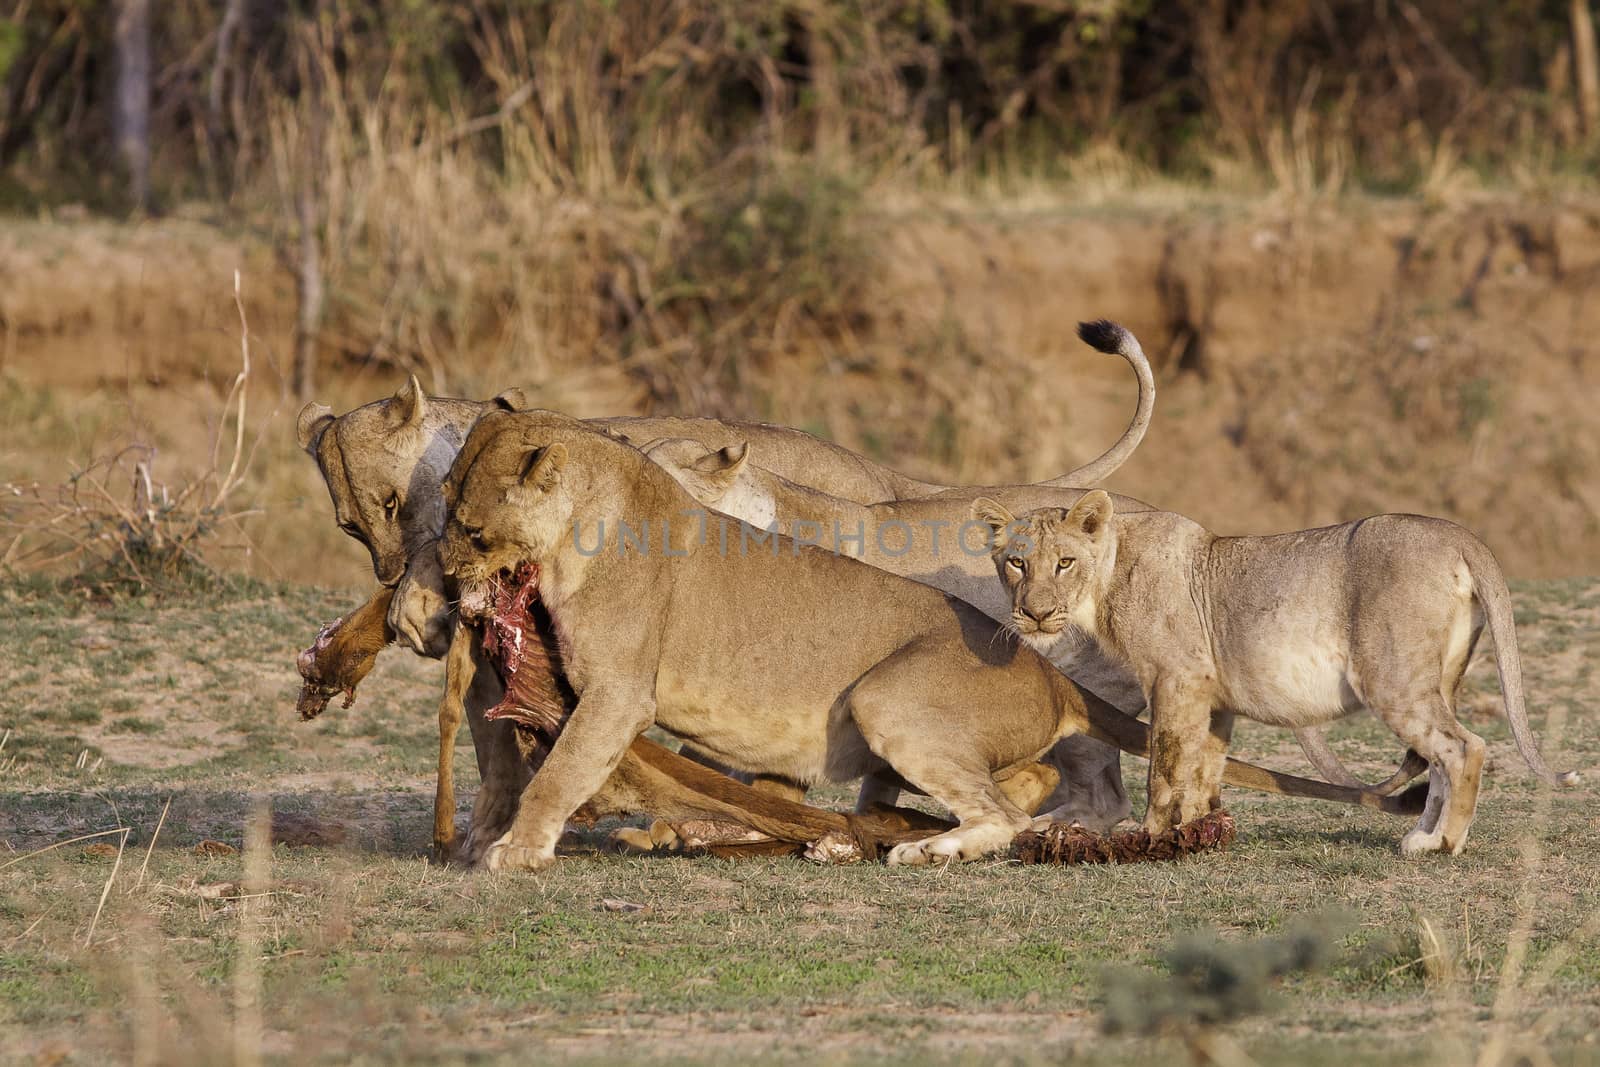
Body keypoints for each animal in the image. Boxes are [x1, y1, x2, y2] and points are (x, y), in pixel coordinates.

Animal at [972, 495, 1574, 857]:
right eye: (1017, 563)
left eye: (1064, 562)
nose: (1035, 614)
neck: (1109, 573)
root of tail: (1458, 535)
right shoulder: (1212, 696)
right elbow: (1204, 768)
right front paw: (1199, 832)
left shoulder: (1174, 677)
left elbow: (1164, 767)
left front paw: (1152, 836)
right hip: (1438, 677)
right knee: (1437, 757)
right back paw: (1420, 837)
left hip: (1391, 678)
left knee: (1464, 746)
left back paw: (1445, 843)